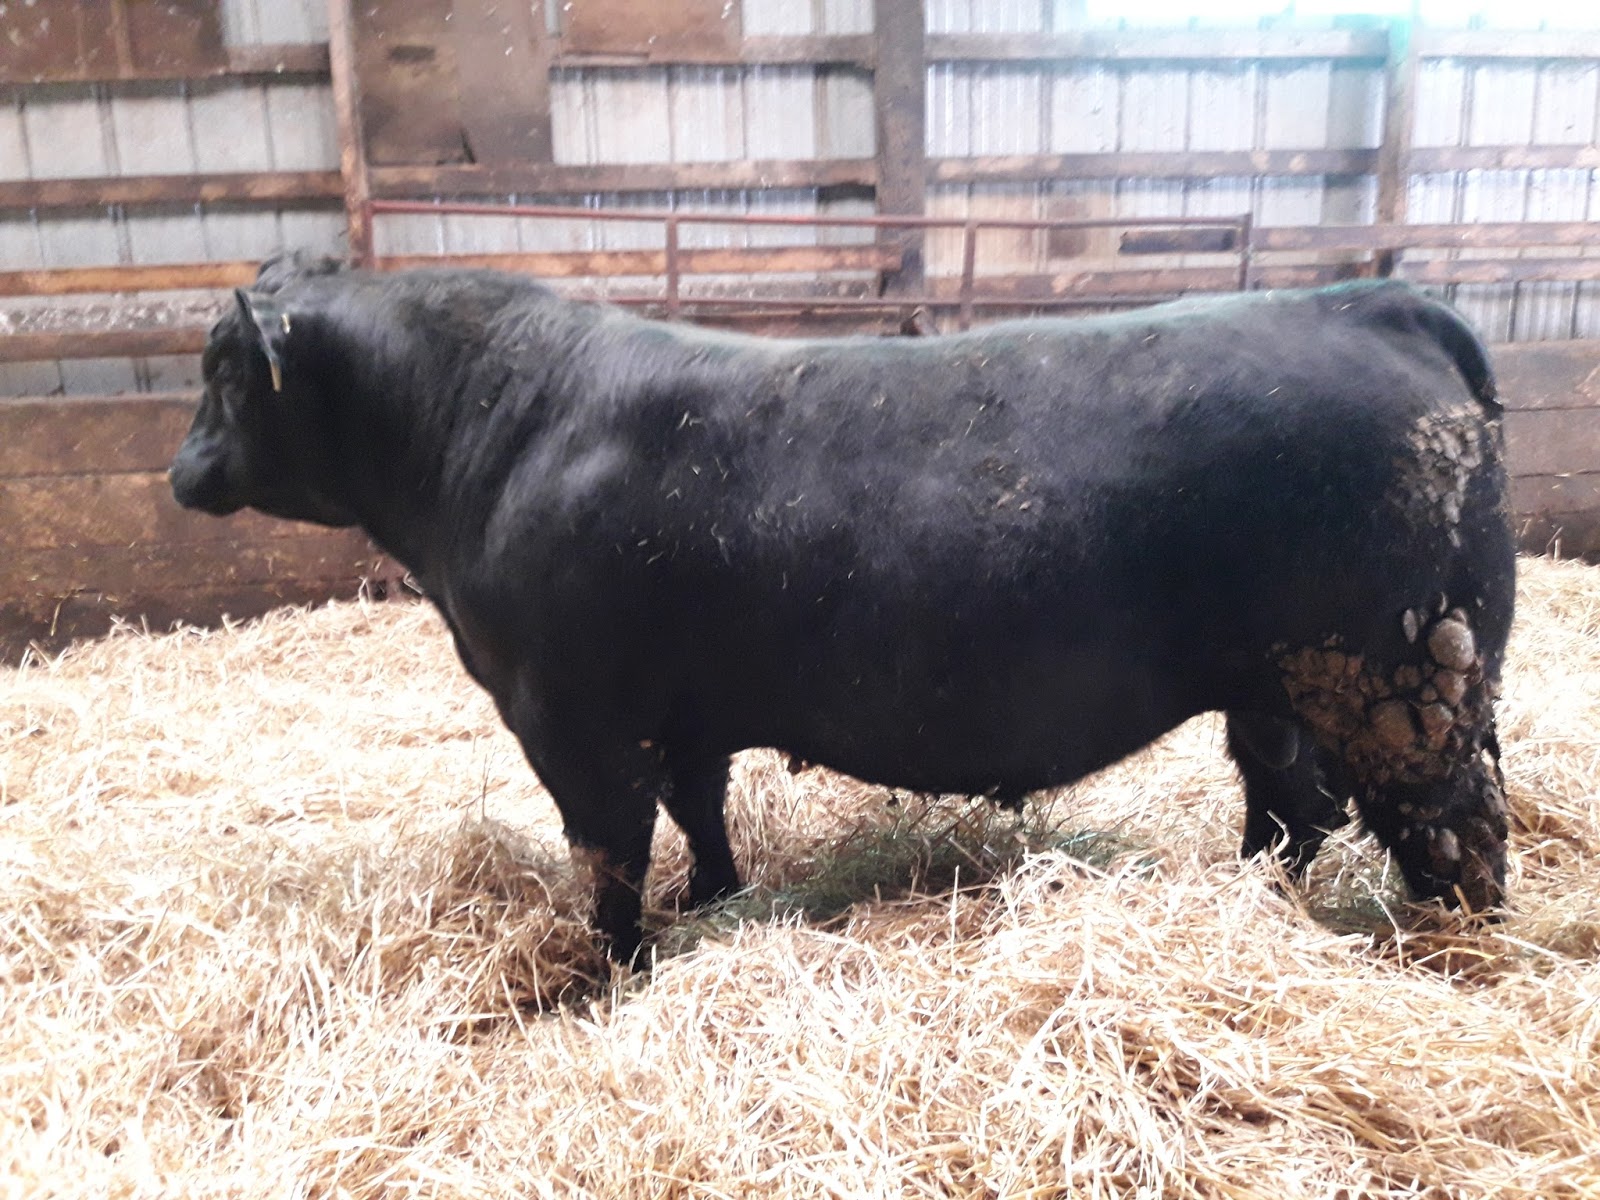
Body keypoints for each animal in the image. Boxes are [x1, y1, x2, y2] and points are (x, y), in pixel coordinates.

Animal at [170, 255, 1516, 963]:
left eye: (224, 370)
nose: (180, 473)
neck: (503, 430)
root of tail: (1369, 298)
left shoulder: (572, 720)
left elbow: (610, 853)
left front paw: (605, 970)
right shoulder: (680, 714)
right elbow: (698, 811)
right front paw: (713, 901)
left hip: (1406, 688)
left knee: (1457, 838)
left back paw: (1462, 961)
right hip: (1282, 692)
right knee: (1290, 811)